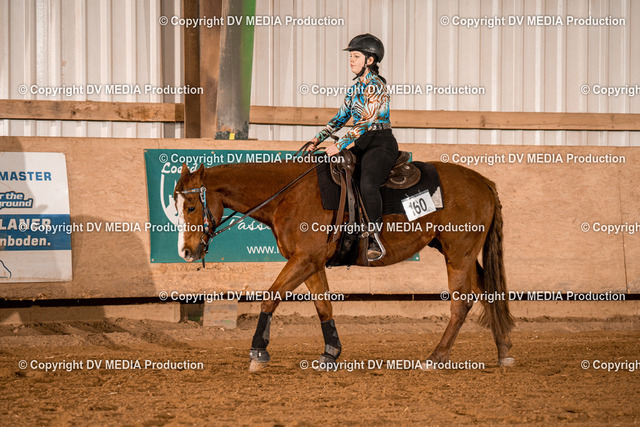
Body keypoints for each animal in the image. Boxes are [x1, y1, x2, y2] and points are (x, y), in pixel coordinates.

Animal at [173, 156, 515, 372]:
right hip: (462, 254)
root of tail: (482, 181)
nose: (187, 252)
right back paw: (504, 352)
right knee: (490, 293)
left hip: (459, 254)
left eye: (190, 206)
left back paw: (436, 357)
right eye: (176, 207)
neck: (288, 195)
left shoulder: (304, 259)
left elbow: (271, 297)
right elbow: (324, 306)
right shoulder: (311, 263)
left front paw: (258, 352)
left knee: (461, 303)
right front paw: (330, 353)